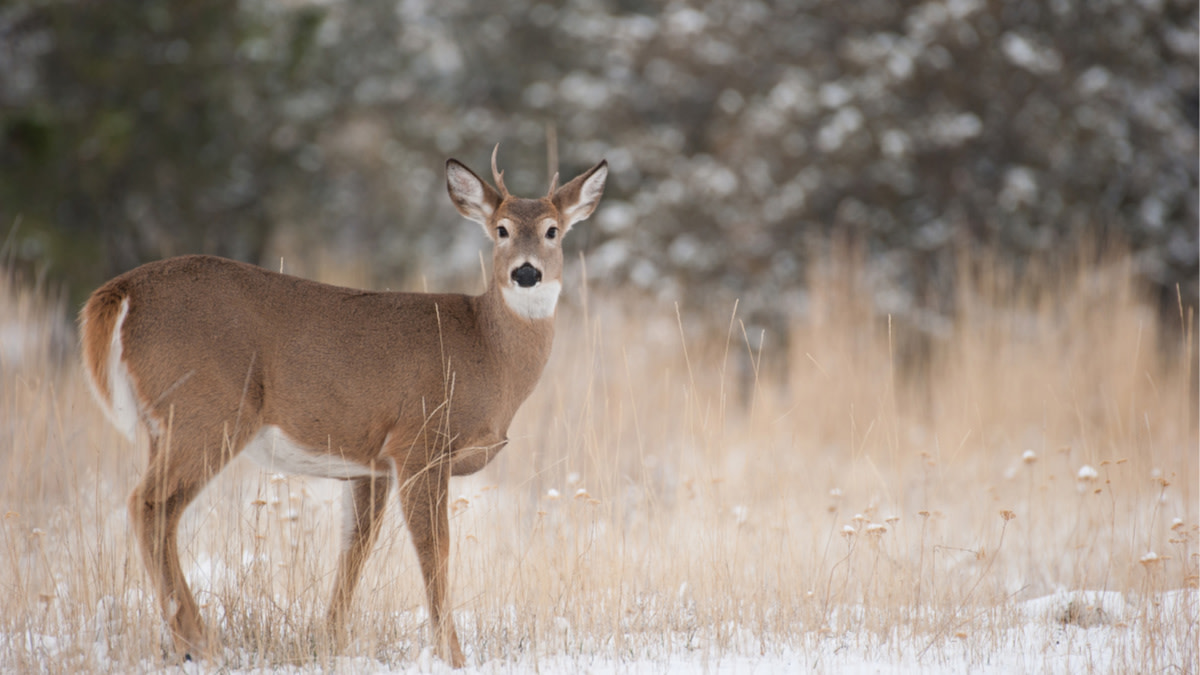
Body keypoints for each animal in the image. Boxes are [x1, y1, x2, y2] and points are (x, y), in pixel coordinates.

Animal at [78, 144, 604, 662]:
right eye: (501, 229)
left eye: (553, 230)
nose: (527, 272)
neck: (487, 350)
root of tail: (118, 293)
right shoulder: (419, 442)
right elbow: (434, 550)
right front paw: (453, 655)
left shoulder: (368, 465)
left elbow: (355, 547)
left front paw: (329, 639)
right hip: (208, 411)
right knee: (148, 504)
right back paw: (200, 644)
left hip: (165, 425)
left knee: (158, 512)